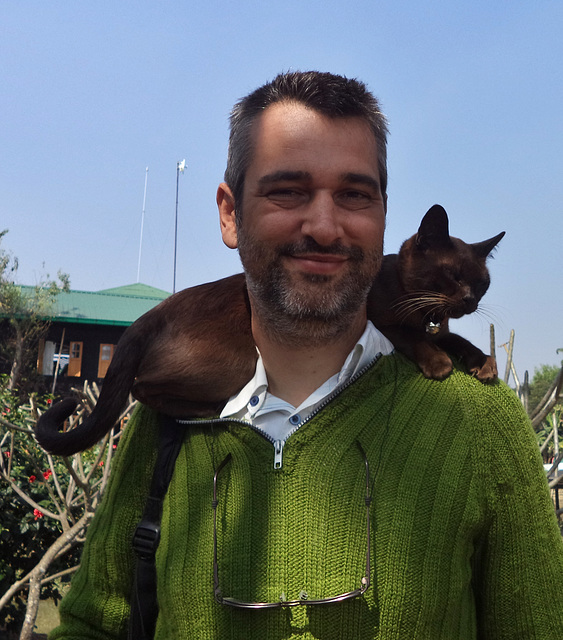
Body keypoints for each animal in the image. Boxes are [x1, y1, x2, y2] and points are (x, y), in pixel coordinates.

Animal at [35, 205, 504, 456]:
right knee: (142, 388)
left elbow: (456, 338)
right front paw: (441, 363)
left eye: (481, 282)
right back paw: (207, 410)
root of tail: (152, 313)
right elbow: (416, 338)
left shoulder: (436, 323)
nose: (469, 300)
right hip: (241, 360)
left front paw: (484, 365)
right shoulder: (384, 317)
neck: (420, 305)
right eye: (451, 276)